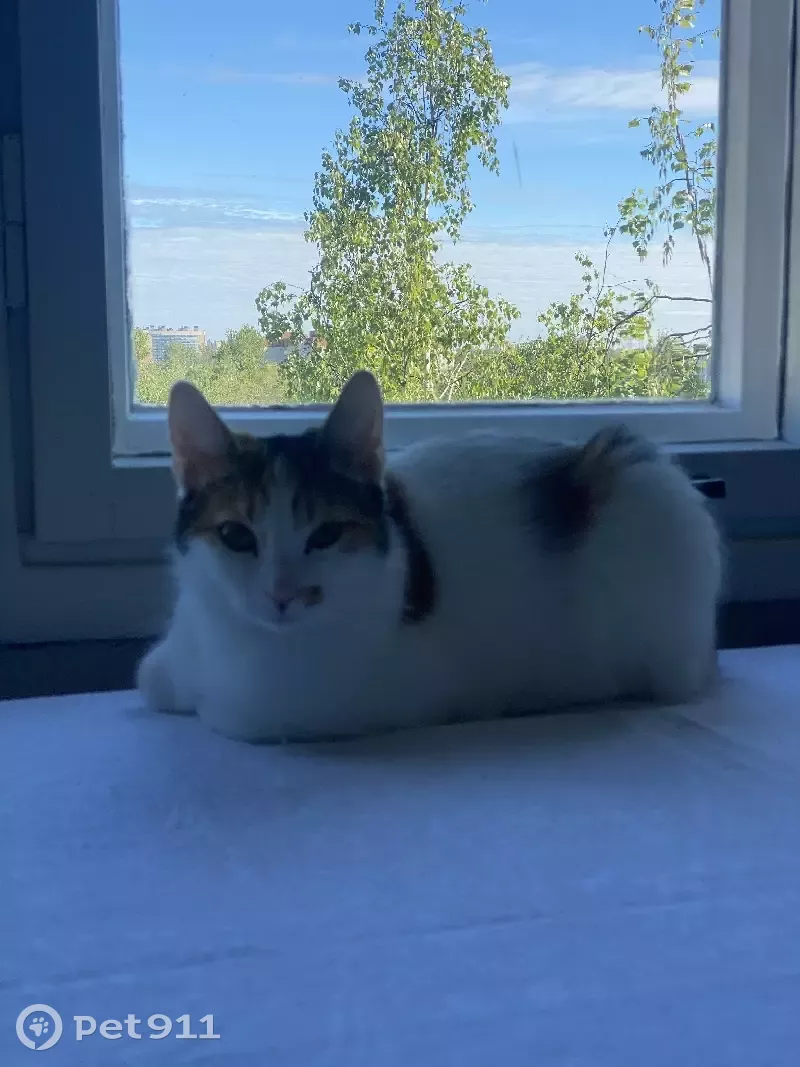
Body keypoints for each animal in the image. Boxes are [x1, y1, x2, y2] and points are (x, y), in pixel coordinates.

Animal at [136, 370, 722, 743]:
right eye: (235, 535)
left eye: (327, 534)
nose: (283, 595)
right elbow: (152, 680)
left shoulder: (307, 711)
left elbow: (223, 713)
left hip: (649, 495)